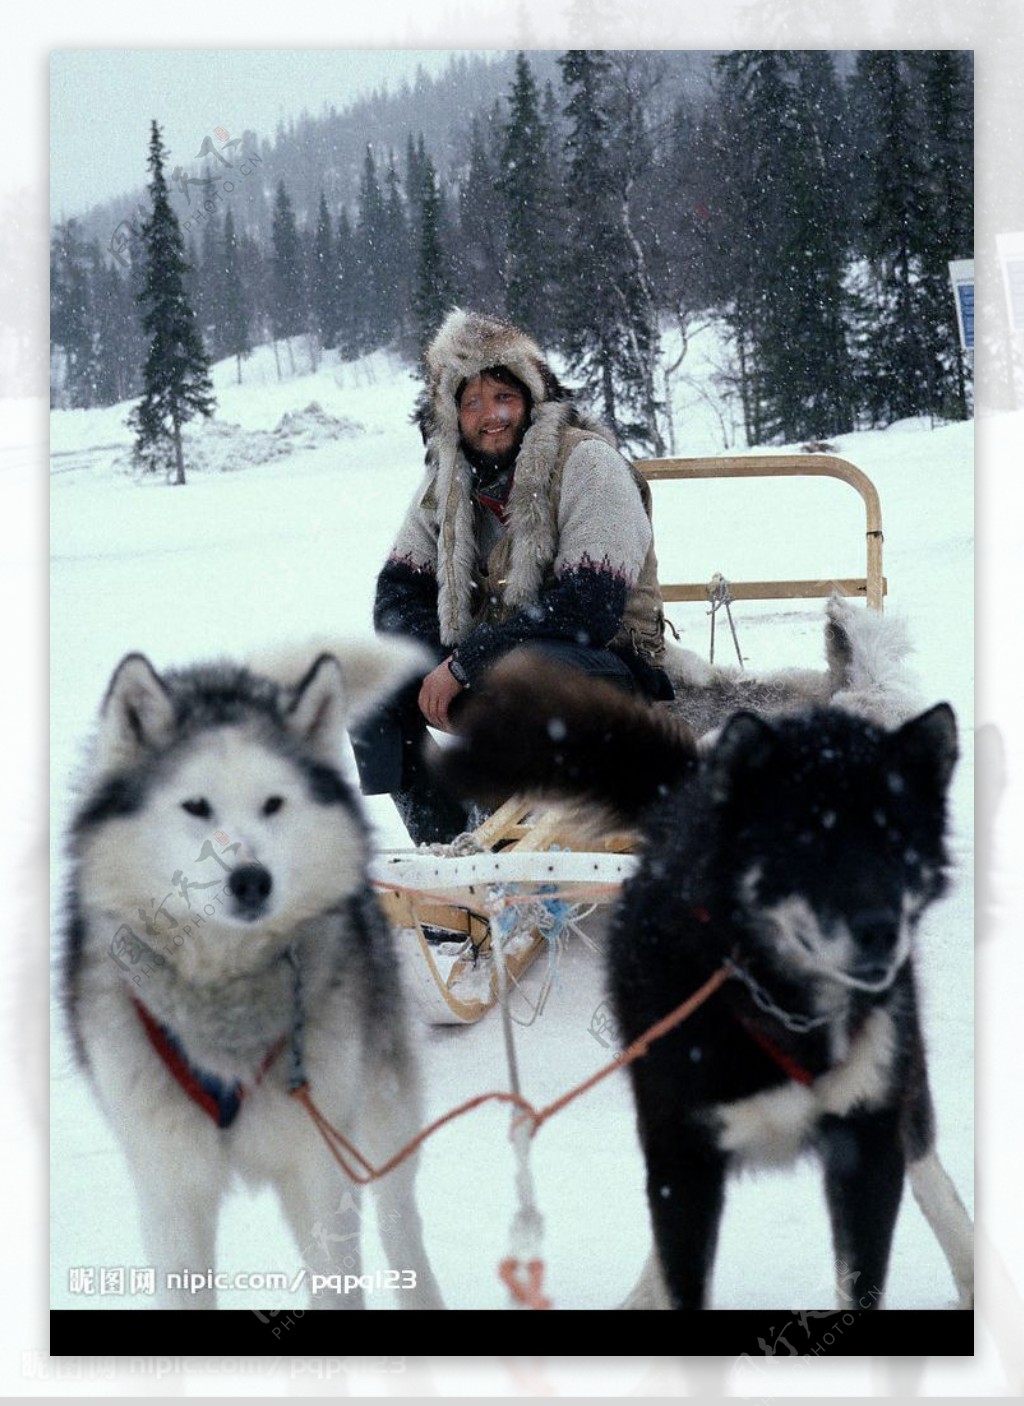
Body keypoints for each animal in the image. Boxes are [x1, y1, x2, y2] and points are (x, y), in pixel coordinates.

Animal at [60, 643, 444, 1310]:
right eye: (196, 806)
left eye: (273, 803)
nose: (250, 880)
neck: (223, 991)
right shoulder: (170, 1185)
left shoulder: (321, 1168)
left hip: (381, 1112)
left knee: (401, 1223)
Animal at [438, 643, 967, 1310]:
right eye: (806, 842)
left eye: (899, 842)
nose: (881, 931)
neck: (776, 1001)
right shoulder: (681, 1157)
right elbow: (681, 1266)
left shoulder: (867, 1147)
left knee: (930, 1167)